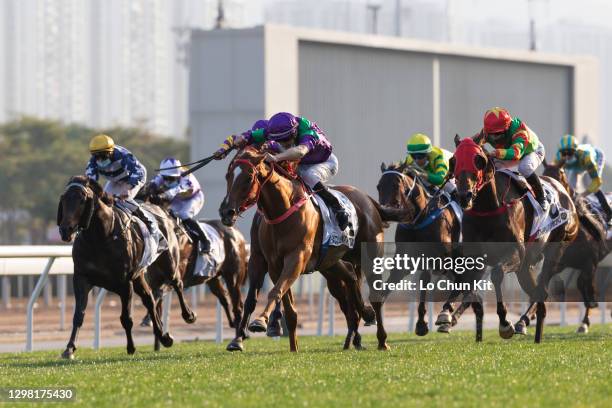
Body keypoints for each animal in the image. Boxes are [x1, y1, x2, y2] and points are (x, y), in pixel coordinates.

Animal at [58, 175, 194, 356]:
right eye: (64, 199)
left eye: (81, 199)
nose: (65, 230)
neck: (100, 237)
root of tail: (160, 210)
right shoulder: (81, 278)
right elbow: (79, 314)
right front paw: (69, 348)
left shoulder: (125, 283)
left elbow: (126, 318)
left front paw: (131, 346)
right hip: (139, 277)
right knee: (150, 299)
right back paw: (163, 336)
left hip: (168, 263)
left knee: (177, 284)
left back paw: (188, 315)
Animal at [218, 147, 404, 350]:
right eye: (228, 175)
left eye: (248, 177)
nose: (226, 212)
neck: (283, 210)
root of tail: (369, 200)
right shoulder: (271, 263)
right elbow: (284, 306)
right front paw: (292, 347)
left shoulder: (296, 258)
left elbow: (275, 291)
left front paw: (260, 321)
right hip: (331, 262)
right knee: (351, 278)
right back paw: (362, 322)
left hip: (370, 256)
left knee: (375, 295)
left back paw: (382, 340)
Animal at [450, 138, 580, 344]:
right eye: (454, 161)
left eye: (478, 161)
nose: (464, 196)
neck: (488, 208)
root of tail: (564, 192)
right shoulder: (475, 257)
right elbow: (466, 282)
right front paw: (449, 316)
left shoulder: (515, 254)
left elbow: (496, 274)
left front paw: (504, 323)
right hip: (526, 266)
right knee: (538, 292)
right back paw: (530, 328)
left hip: (556, 249)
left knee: (541, 289)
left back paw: (523, 323)